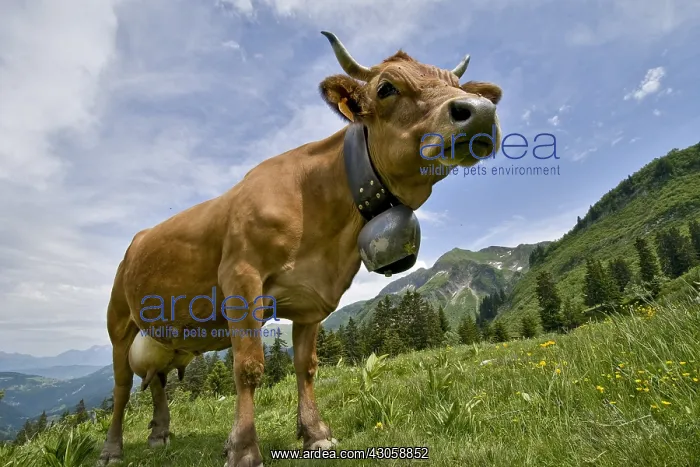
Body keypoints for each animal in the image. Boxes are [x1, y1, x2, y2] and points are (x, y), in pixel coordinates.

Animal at [98, 31, 502, 466]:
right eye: (386, 88)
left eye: (458, 85)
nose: (480, 112)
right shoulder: (241, 277)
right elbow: (249, 368)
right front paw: (243, 447)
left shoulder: (313, 298)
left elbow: (306, 367)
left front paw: (315, 433)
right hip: (118, 322)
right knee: (121, 386)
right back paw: (111, 449)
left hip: (164, 337)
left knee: (156, 378)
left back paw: (159, 434)